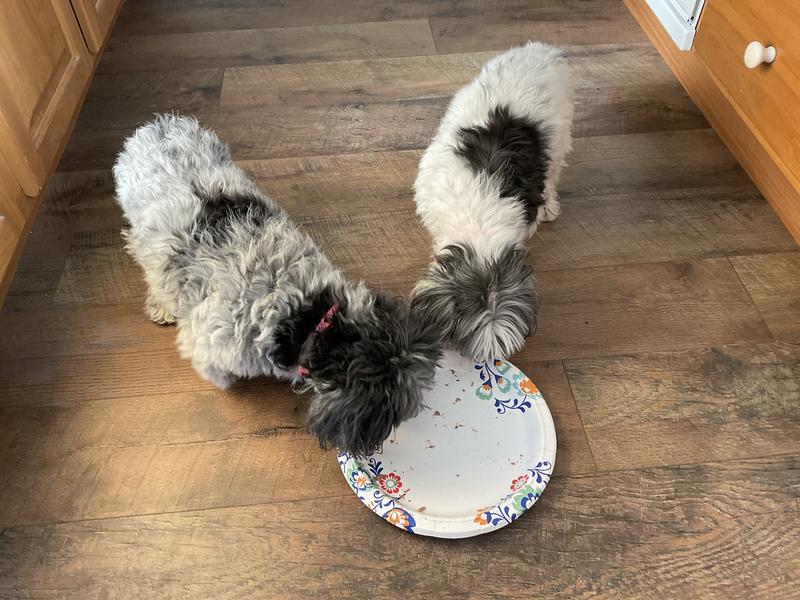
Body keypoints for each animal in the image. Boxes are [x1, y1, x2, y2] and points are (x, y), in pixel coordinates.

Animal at [114, 115, 441, 456]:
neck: (303, 312)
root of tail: (157, 125)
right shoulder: (204, 343)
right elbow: (214, 371)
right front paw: (226, 383)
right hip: (142, 231)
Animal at [410, 42, 574, 361]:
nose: (488, 362)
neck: (479, 225)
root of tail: (541, 51)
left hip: (559, 134)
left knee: (552, 172)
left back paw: (549, 205)